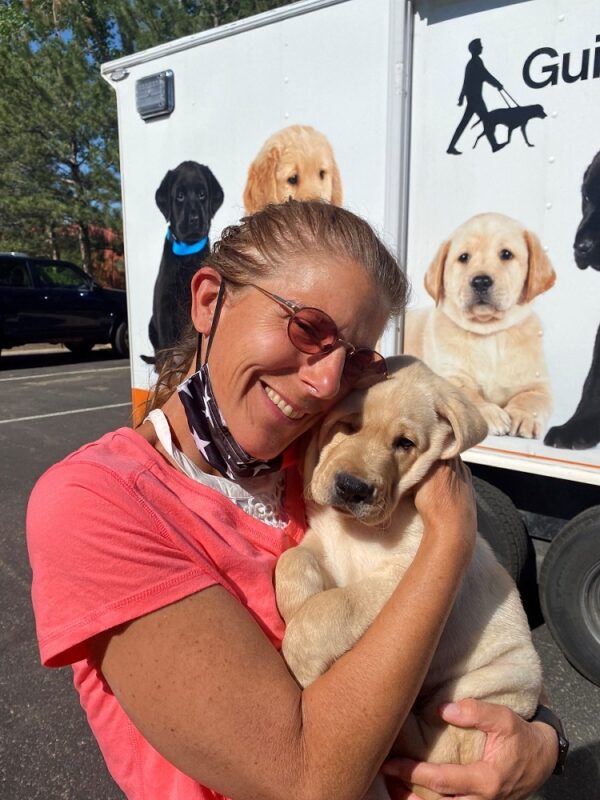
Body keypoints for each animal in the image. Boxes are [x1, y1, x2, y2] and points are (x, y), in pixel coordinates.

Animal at [276, 356, 544, 800]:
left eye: (404, 443)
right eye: (347, 426)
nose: (352, 488)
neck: (359, 532)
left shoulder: (402, 574)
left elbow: (330, 609)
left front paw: (303, 663)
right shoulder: (322, 541)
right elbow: (291, 562)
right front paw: (293, 603)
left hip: (491, 686)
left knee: (444, 748)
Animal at [406, 212, 556, 438]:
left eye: (506, 254)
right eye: (464, 258)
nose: (481, 281)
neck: (490, 335)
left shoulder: (538, 385)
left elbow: (531, 399)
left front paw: (524, 417)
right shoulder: (449, 376)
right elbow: (467, 394)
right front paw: (489, 413)